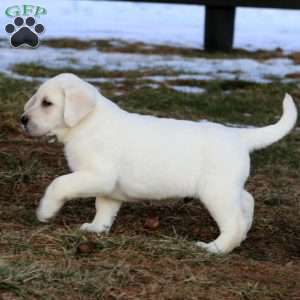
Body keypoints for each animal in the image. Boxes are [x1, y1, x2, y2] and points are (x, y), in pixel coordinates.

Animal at [21, 72, 298, 253]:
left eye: (47, 103)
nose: (22, 120)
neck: (86, 123)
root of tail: (239, 135)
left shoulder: (98, 175)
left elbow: (59, 184)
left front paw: (45, 211)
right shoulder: (108, 187)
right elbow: (104, 208)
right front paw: (96, 229)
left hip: (216, 193)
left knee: (233, 222)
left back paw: (215, 248)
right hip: (228, 188)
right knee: (247, 200)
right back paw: (244, 232)